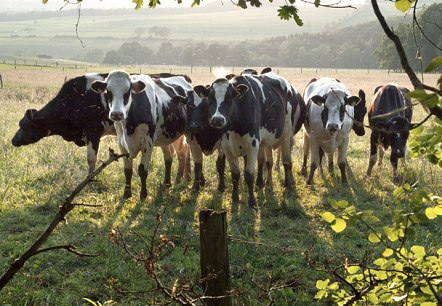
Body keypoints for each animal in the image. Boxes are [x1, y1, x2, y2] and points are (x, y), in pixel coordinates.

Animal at [90, 70, 193, 200]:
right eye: (108, 91)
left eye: (127, 92)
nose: (116, 114)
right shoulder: (122, 143)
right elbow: (127, 170)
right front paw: (127, 193)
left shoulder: (148, 143)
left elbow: (142, 170)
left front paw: (143, 194)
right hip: (165, 136)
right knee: (169, 158)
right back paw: (168, 183)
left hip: (186, 133)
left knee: (184, 153)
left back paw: (184, 179)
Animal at [194, 70, 300, 208]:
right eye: (210, 99)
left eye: (229, 99)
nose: (217, 120)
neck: (235, 125)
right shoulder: (227, 146)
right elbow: (235, 174)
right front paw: (234, 198)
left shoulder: (252, 145)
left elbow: (249, 174)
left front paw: (252, 201)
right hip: (265, 141)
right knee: (265, 162)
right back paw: (262, 184)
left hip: (286, 134)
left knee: (287, 162)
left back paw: (288, 185)